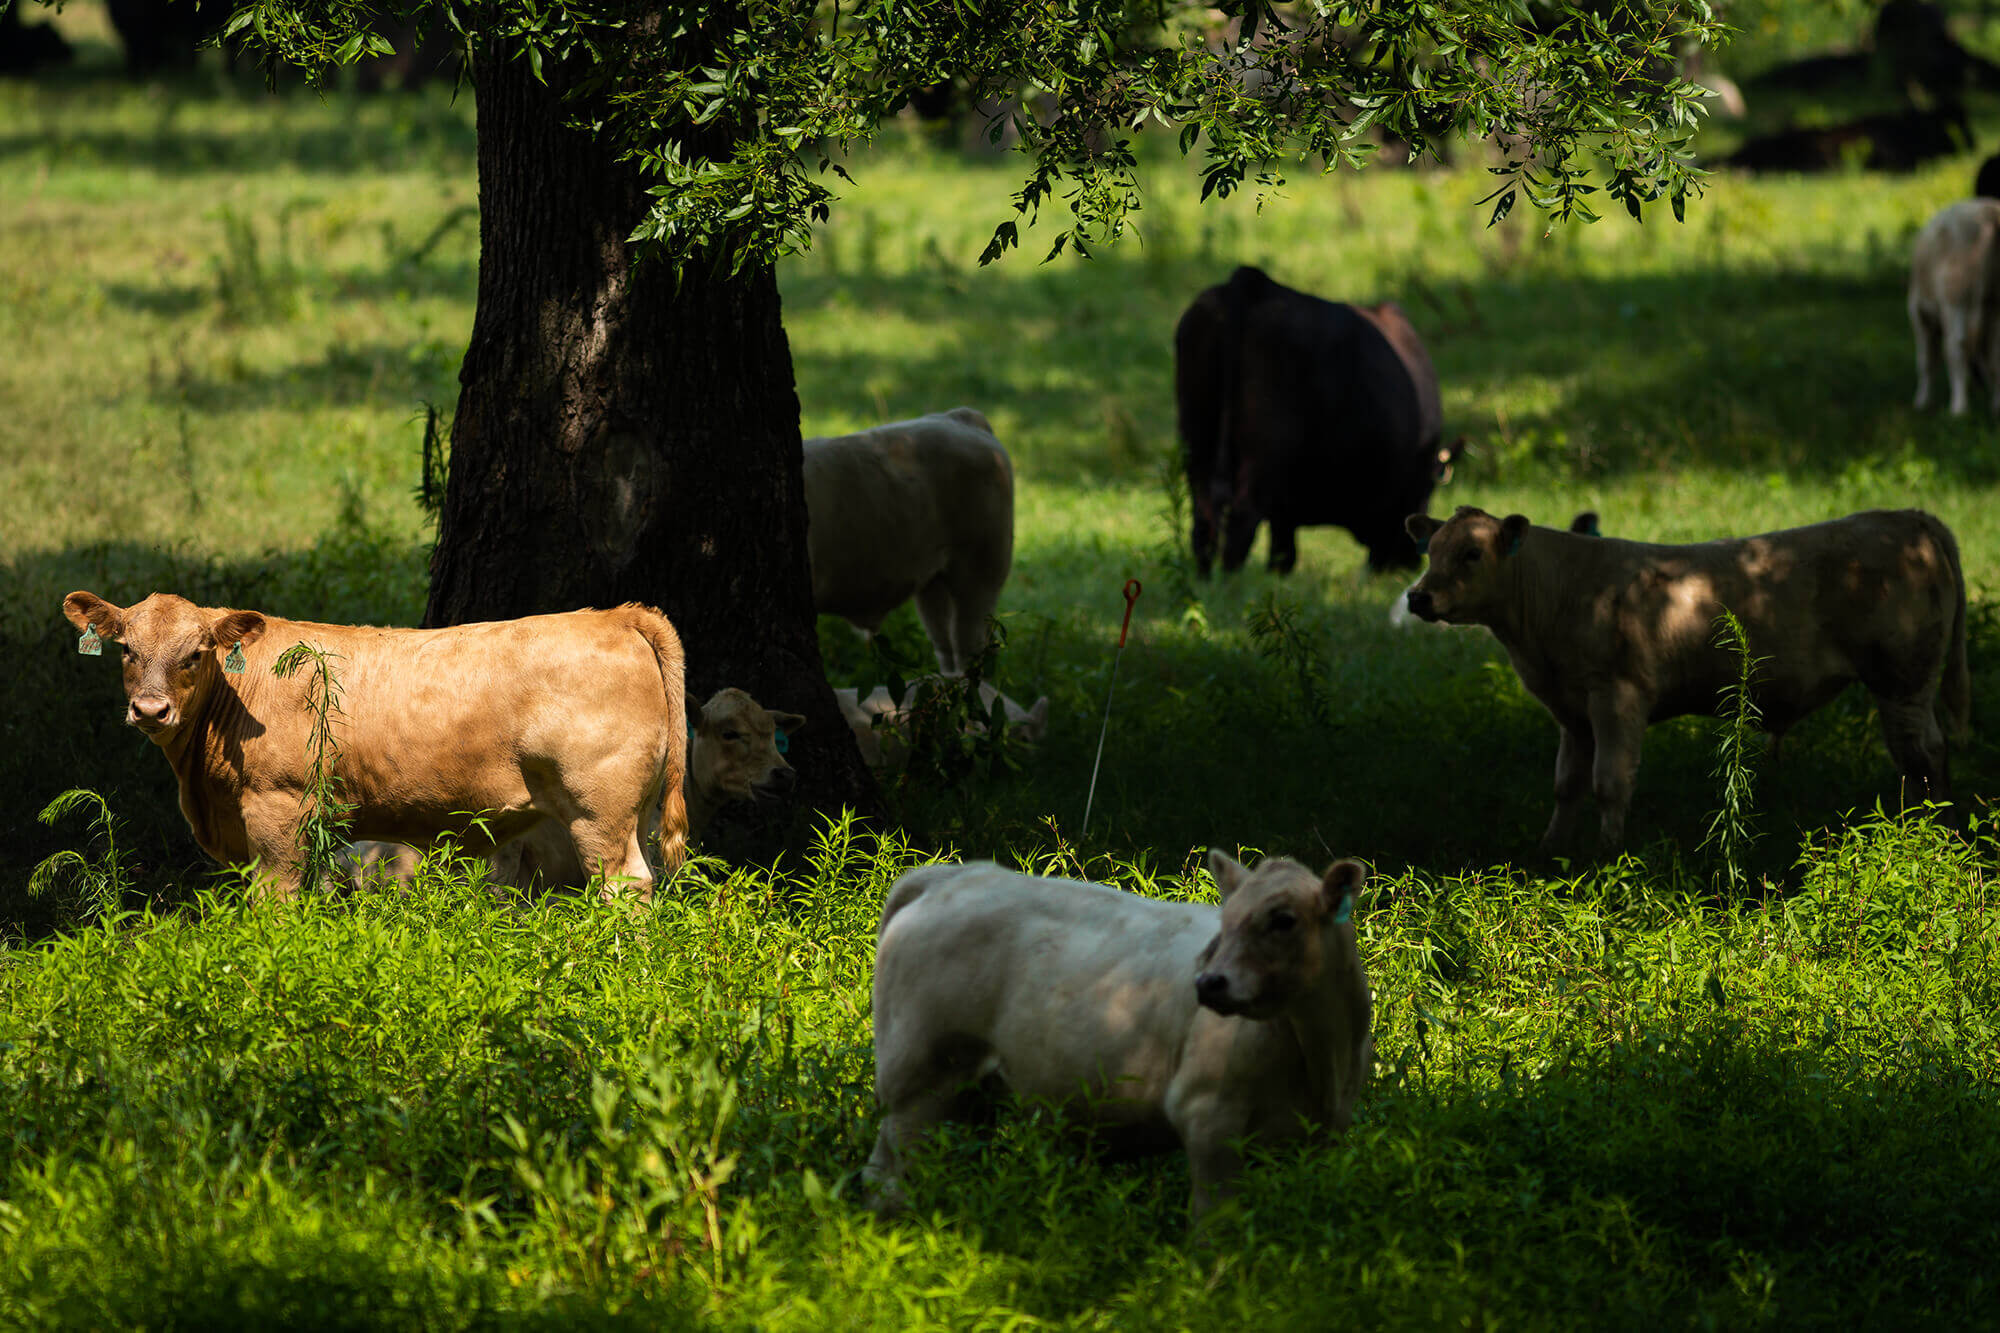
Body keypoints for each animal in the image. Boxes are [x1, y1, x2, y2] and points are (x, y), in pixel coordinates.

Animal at [62, 592, 688, 901]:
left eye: (195, 654)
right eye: (127, 651)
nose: (150, 710)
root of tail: (616, 616)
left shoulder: (277, 809)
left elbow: (277, 898)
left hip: (599, 809)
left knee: (626, 886)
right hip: (621, 813)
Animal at [866, 851, 1374, 1223]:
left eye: (1284, 919)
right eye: (1226, 919)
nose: (1208, 982)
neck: (1322, 1057)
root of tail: (952, 875)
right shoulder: (1207, 1116)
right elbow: (1214, 1228)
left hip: (964, 1094)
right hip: (920, 1079)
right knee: (891, 1175)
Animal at [1176, 265, 1457, 576]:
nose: (1408, 565)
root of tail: (1256, 282)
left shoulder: (1283, 508)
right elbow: (1283, 556)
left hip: (1196, 439)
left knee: (1204, 524)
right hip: (1261, 457)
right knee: (1239, 527)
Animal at [1400, 507, 1969, 849]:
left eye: (1472, 553)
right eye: (1430, 551)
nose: (1417, 596)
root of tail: (1909, 518)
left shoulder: (1617, 696)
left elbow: (1610, 783)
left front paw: (1608, 857)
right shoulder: (1573, 713)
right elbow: (1566, 785)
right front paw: (1551, 852)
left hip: (1904, 680)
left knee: (1922, 754)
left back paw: (1932, 832)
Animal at [1909, 199, 2000, 416]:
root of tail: (1989, 211)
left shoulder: (1917, 312)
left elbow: (1925, 360)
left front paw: (1921, 401)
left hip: (1954, 296)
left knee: (1956, 346)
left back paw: (1959, 408)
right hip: (1990, 302)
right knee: (1993, 353)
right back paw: (1995, 404)